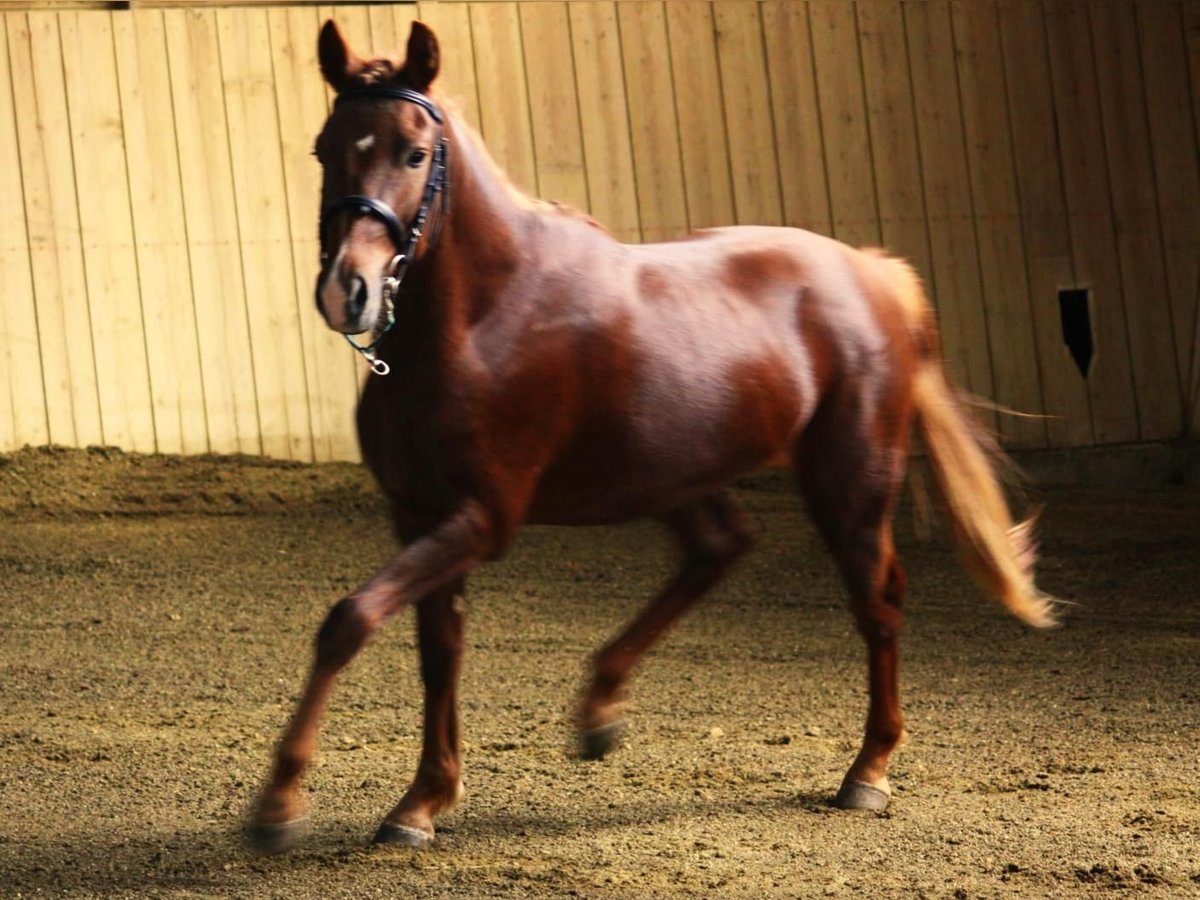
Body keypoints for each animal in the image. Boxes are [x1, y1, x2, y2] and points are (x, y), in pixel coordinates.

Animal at [248, 19, 1056, 854]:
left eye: (414, 153)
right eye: (323, 148)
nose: (348, 290)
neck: (481, 317)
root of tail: (872, 272)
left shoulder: (481, 517)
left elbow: (349, 620)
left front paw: (279, 804)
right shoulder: (419, 514)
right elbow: (438, 651)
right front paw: (421, 802)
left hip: (851, 480)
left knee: (877, 598)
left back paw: (867, 771)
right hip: (677, 472)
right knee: (720, 547)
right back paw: (600, 711)